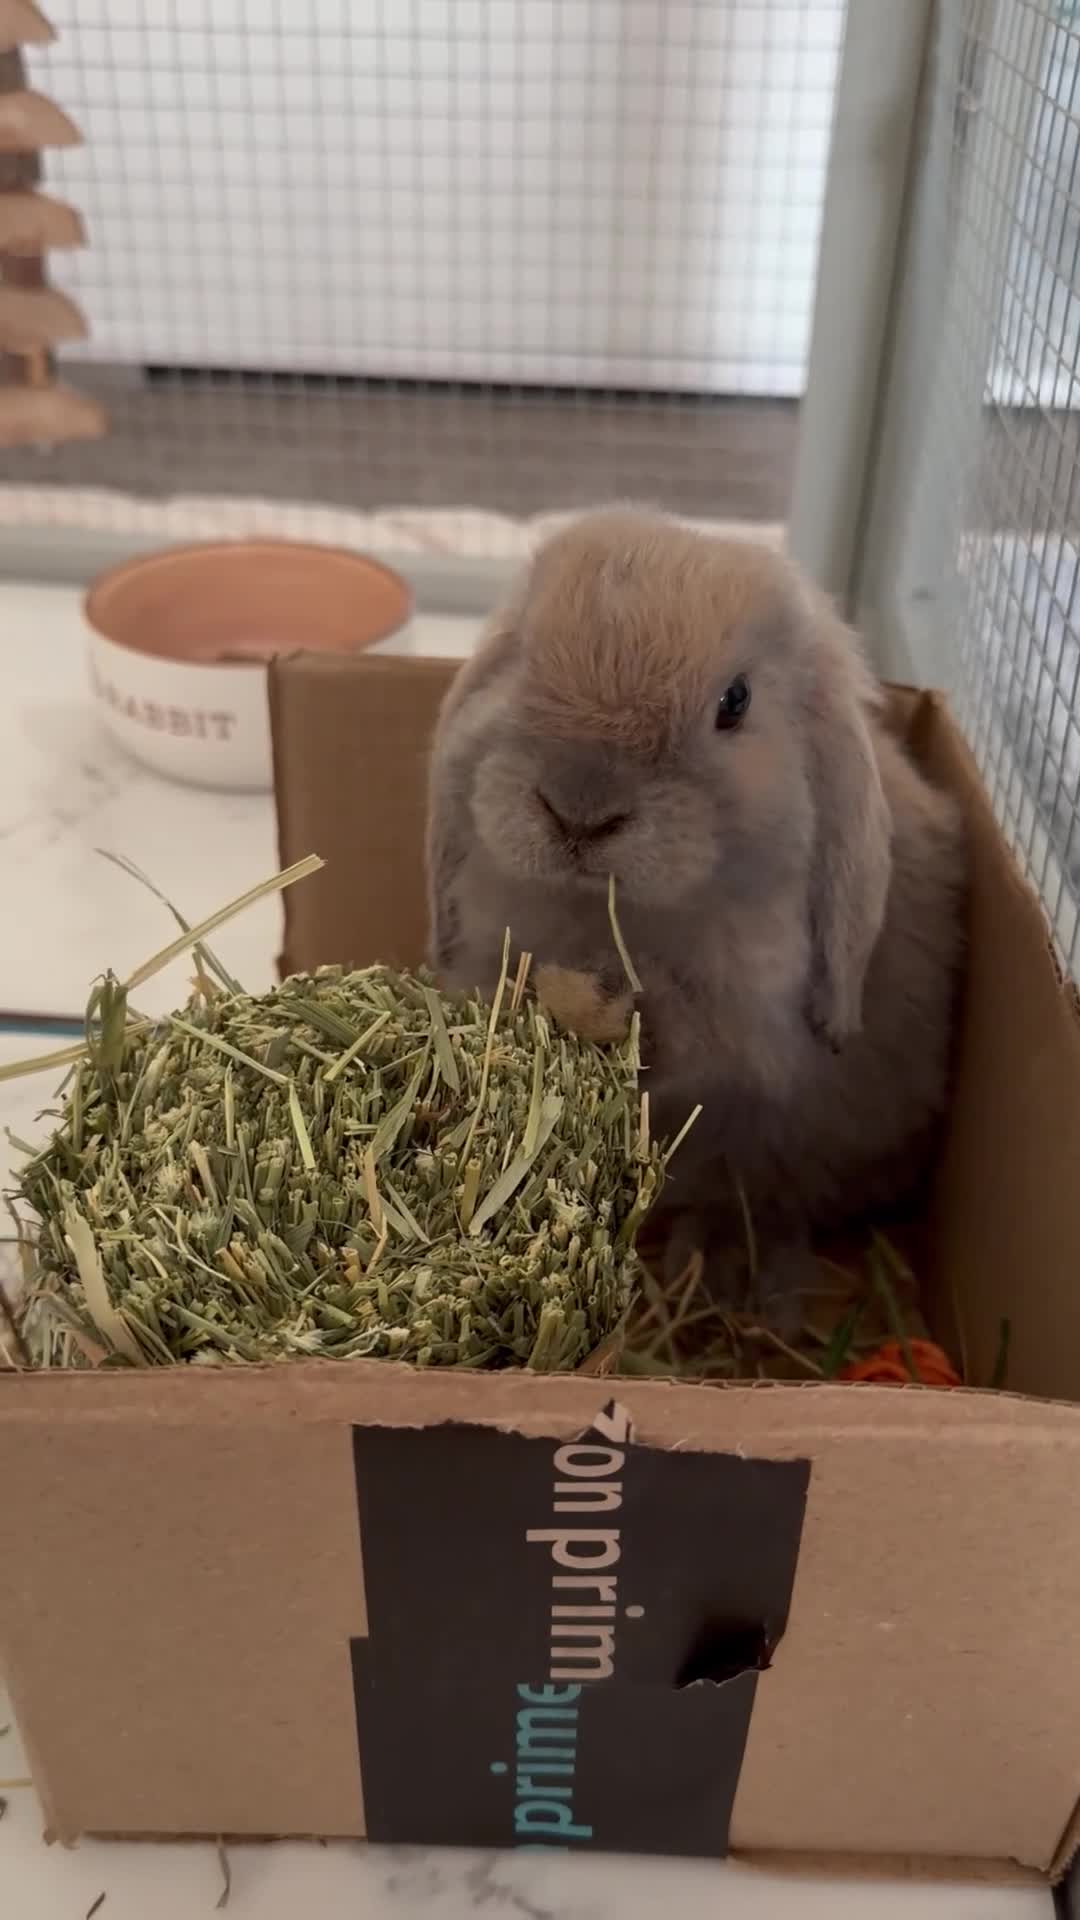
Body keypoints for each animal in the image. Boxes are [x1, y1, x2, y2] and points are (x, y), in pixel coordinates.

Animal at [426, 507, 967, 1326]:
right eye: (519, 657)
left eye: (735, 702)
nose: (579, 811)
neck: (619, 911)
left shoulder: (744, 1016)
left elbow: (697, 1045)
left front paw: (615, 1015)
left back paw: (733, 1274)